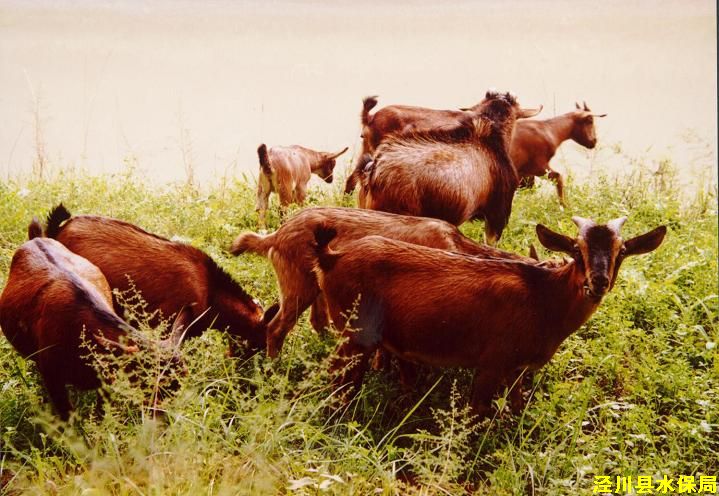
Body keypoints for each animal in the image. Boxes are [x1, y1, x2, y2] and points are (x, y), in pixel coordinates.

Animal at [231, 205, 540, 356]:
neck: (458, 245)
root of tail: (276, 236)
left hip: (314, 287)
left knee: (317, 321)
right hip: (297, 286)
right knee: (276, 329)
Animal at [316, 215, 668, 416]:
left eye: (622, 251)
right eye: (575, 249)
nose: (597, 282)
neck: (544, 297)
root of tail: (332, 256)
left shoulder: (517, 369)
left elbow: (516, 406)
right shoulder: (491, 363)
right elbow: (478, 411)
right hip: (354, 335)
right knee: (336, 375)